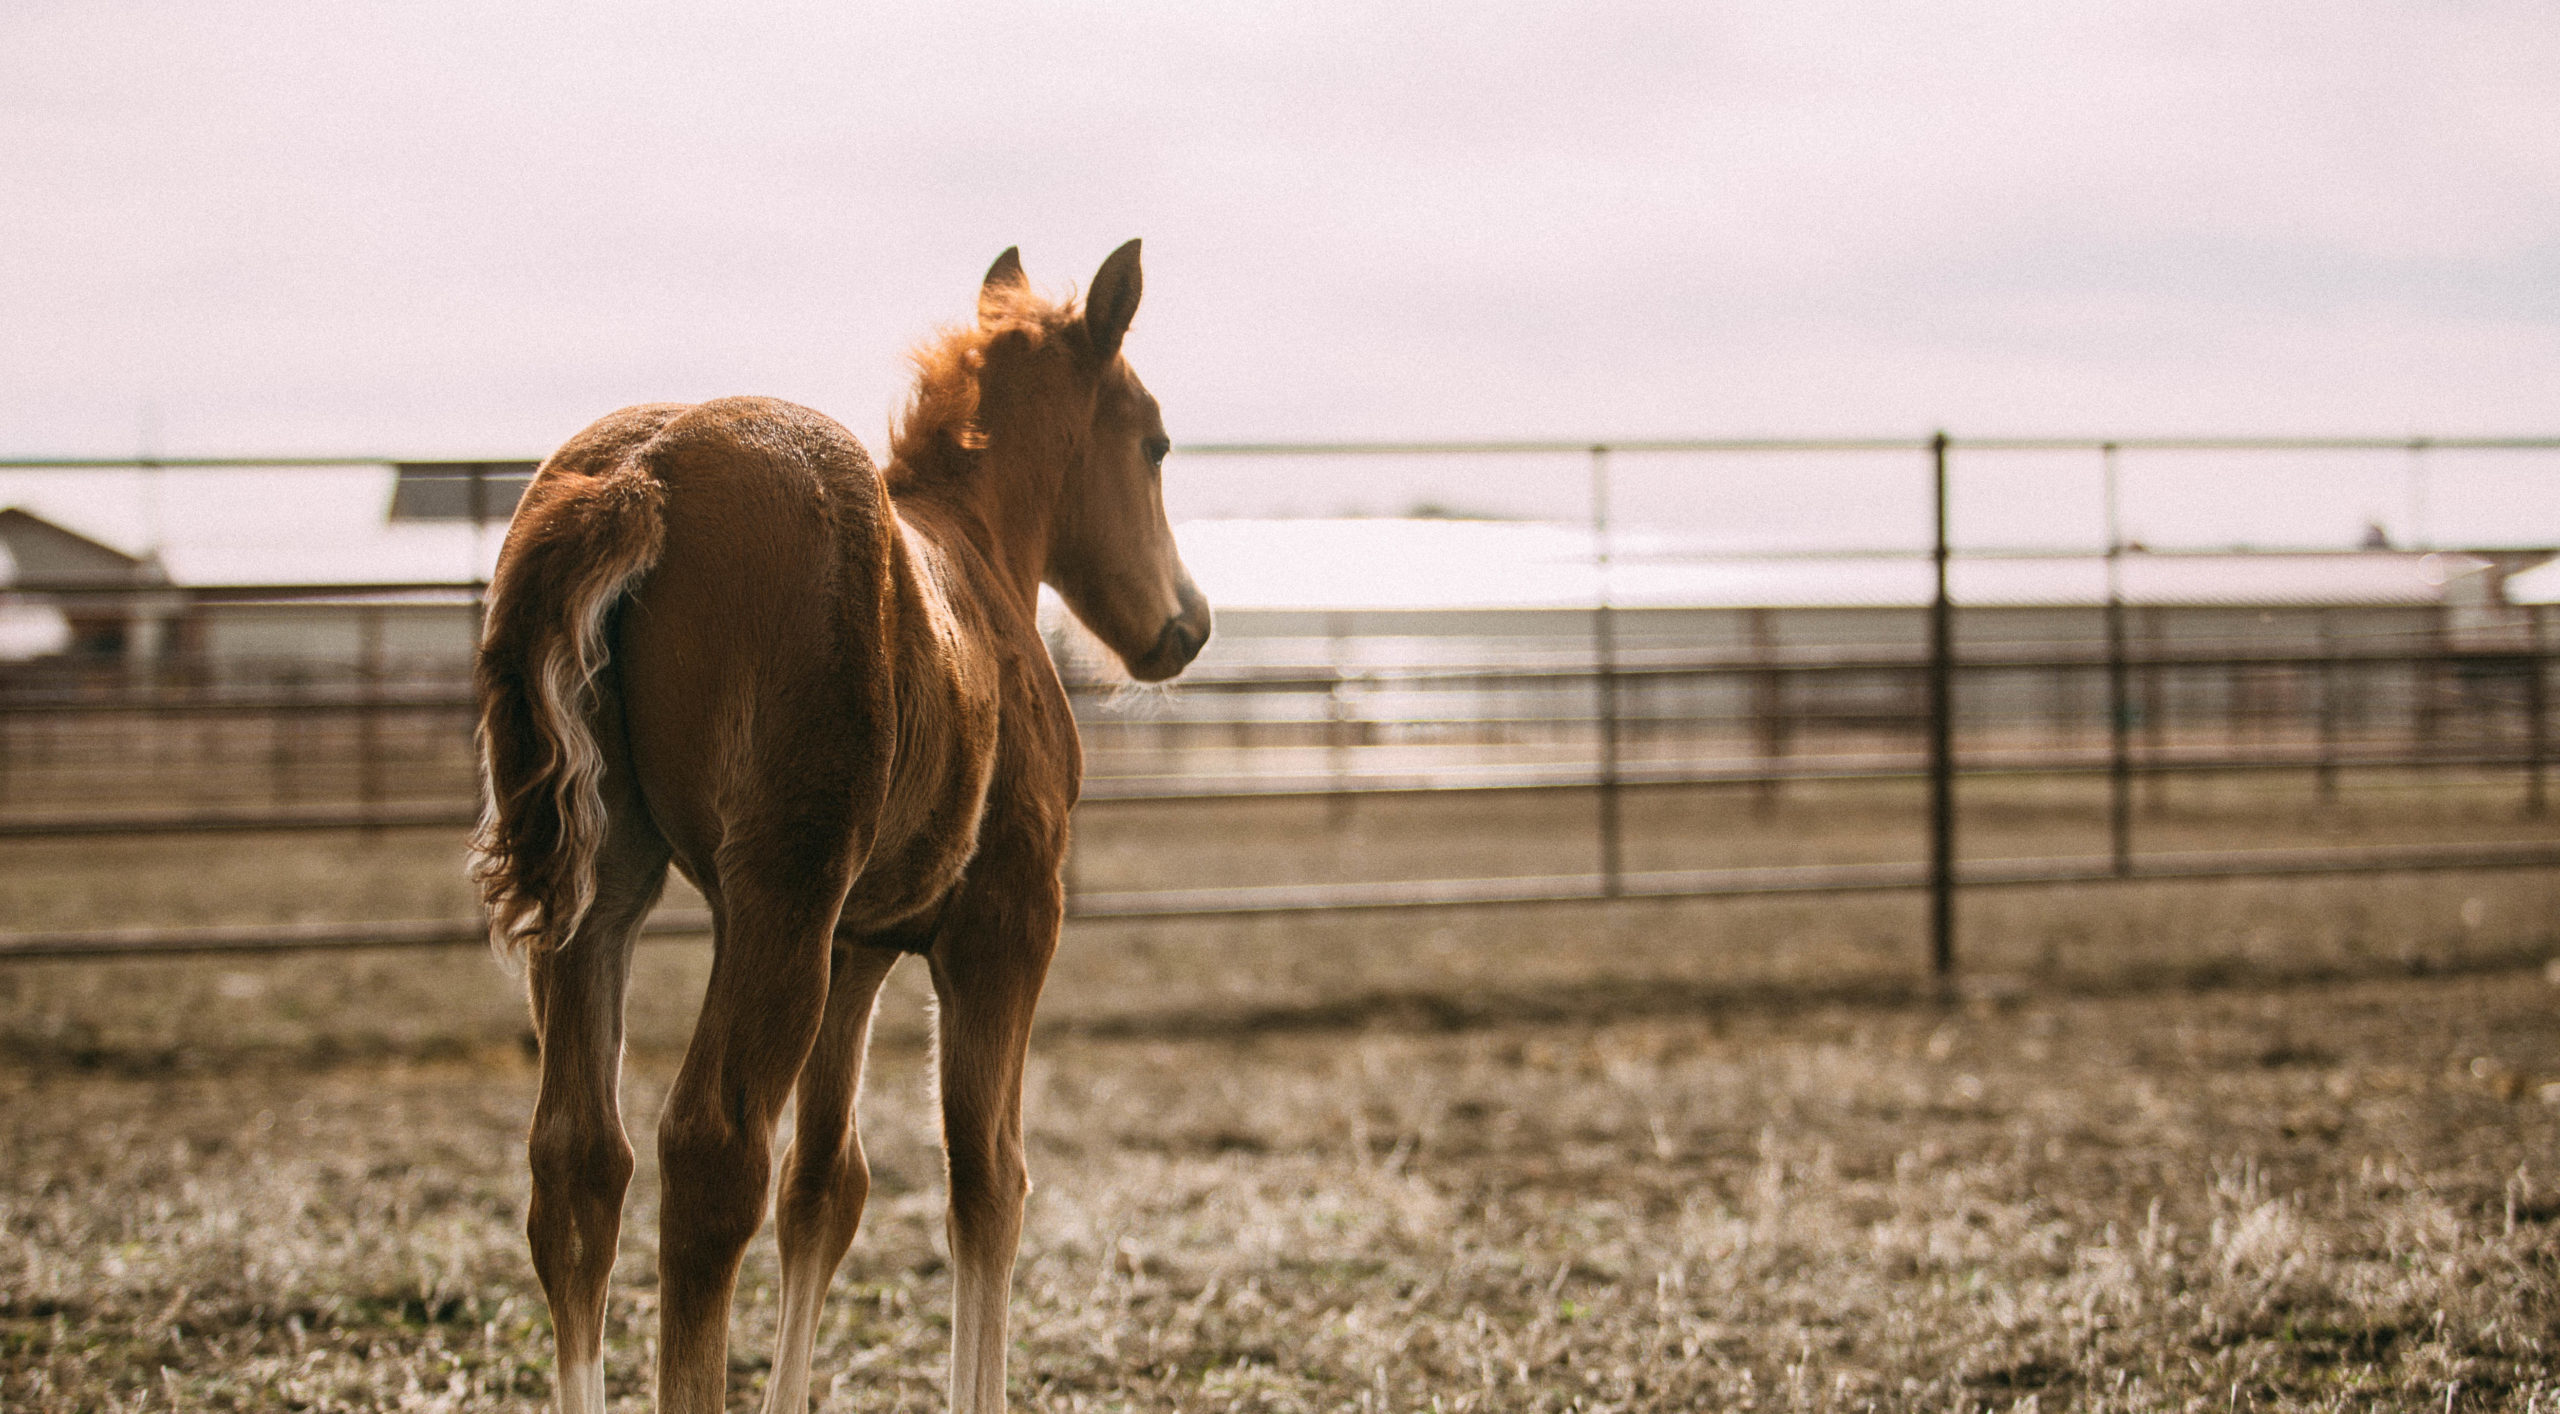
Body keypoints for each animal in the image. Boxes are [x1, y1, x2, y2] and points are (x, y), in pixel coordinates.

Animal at [468, 240, 1208, 1414]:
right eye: (1155, 442)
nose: (1187, 624)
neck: (984, 567)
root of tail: (644, 472)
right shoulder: (1006, 922)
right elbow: (987, 1178)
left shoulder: (858, 948)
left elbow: (825, 1187)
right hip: (783, 894)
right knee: (711, 1152)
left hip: (608, 898)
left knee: (579, 1160)